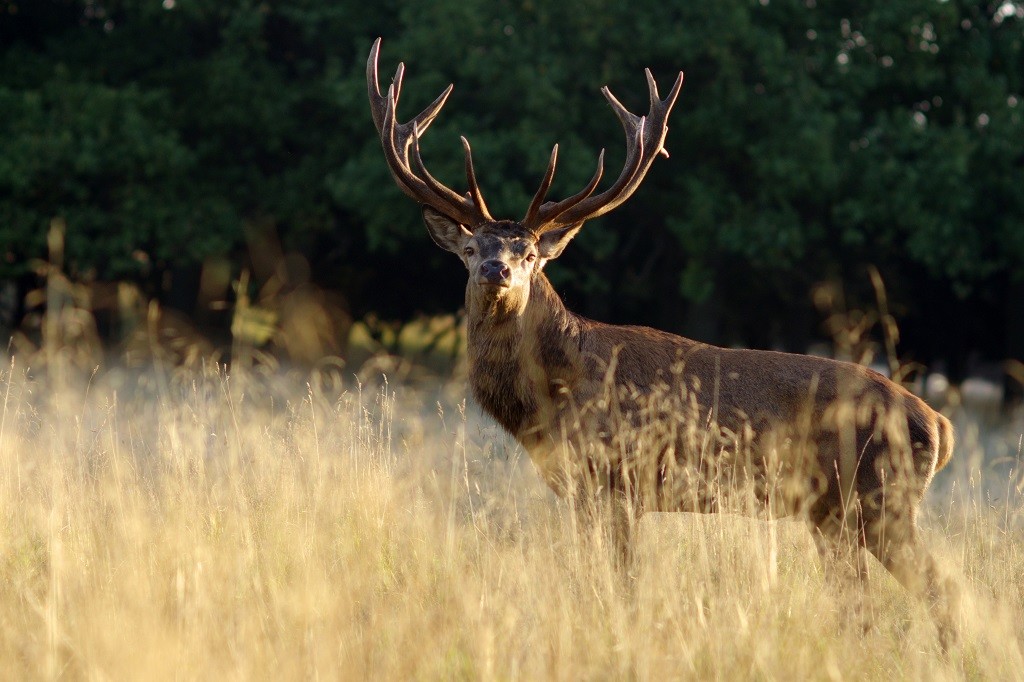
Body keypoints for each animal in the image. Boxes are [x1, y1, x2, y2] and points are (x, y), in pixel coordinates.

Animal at [368, 38, 958, 647]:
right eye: (469, 250)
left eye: (529, 254)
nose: (495, 269)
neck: (551, 397)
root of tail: (939, 426)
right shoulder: (583, 492)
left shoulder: (618, 480)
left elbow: (621, 585)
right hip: (833, 511)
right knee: (860, 602)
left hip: (879, 496)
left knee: (940, 588)